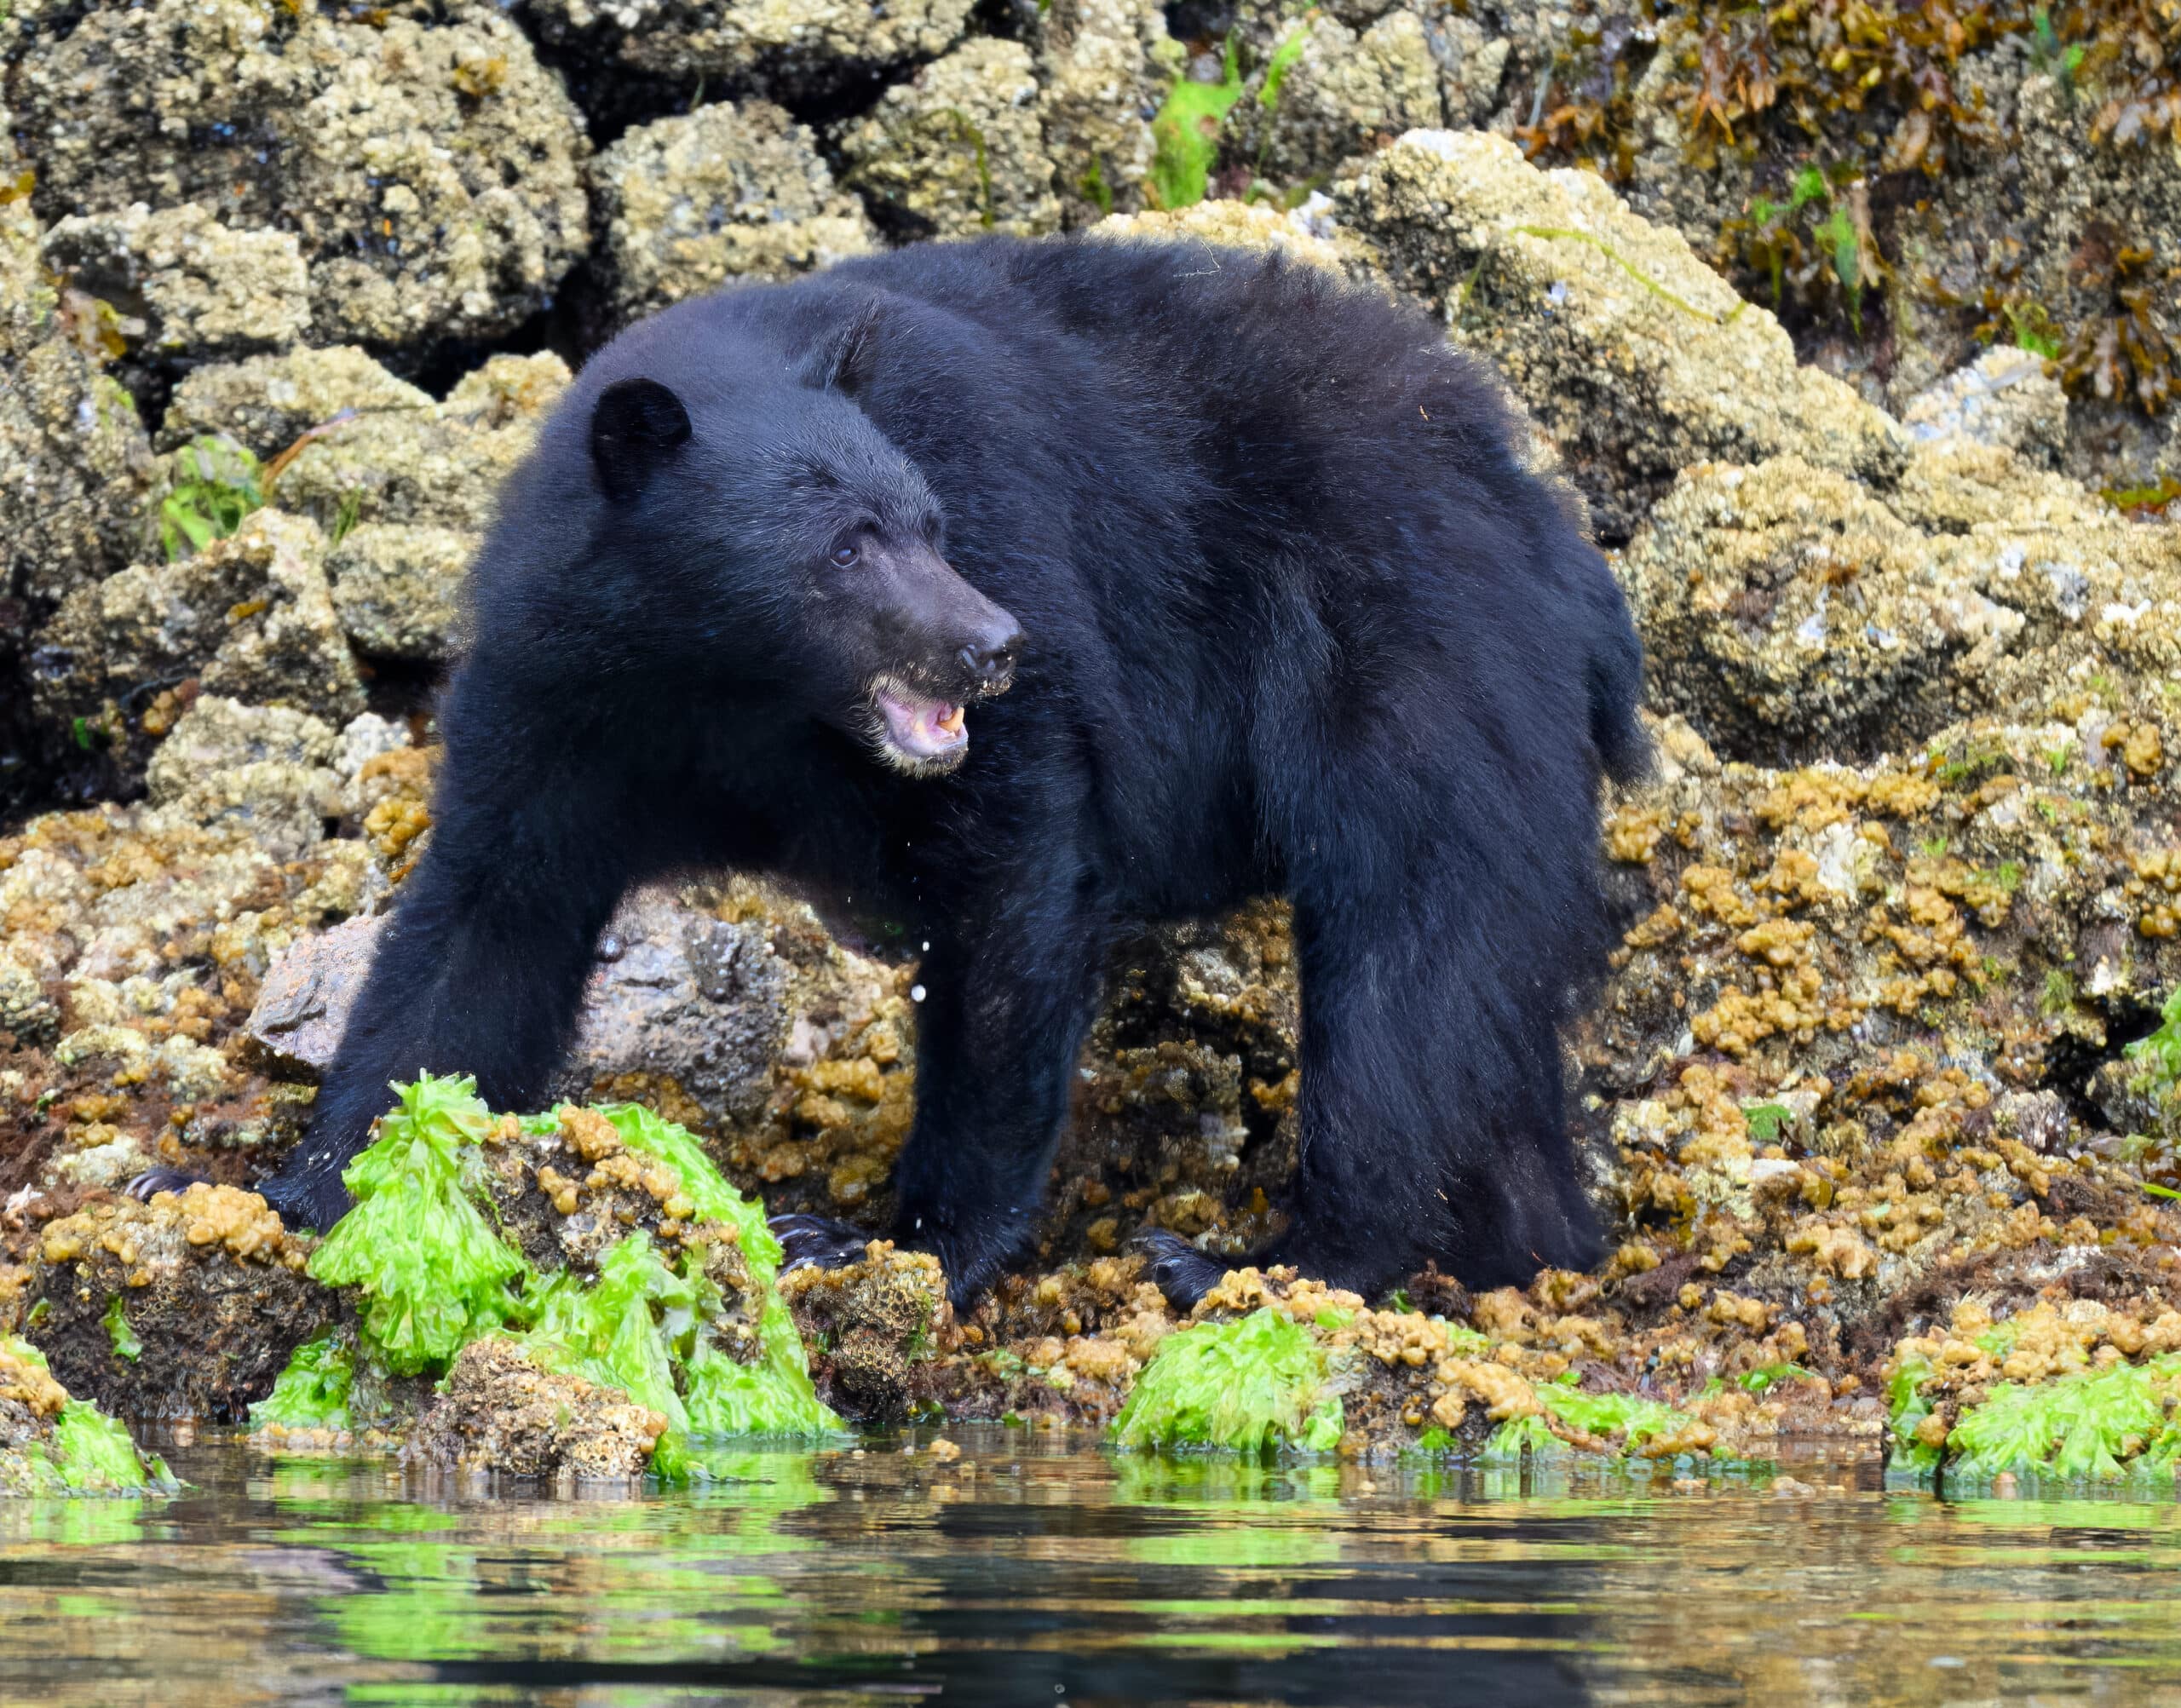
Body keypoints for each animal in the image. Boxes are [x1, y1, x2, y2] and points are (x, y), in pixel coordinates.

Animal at [244, 234, 1648, 1310]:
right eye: (848, 544)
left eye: (930, 525)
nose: (993, 644)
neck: (742, 693)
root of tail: (1550, 527)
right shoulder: (563, 697)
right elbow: (486, 921)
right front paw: (313, 1189)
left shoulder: (1015, 622)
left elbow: (1005, 910)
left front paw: (886, 1240)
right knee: (1478, 1004)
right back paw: (1524, 1242)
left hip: (1412, 674)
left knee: (1401, 968)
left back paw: (1274, 1259)